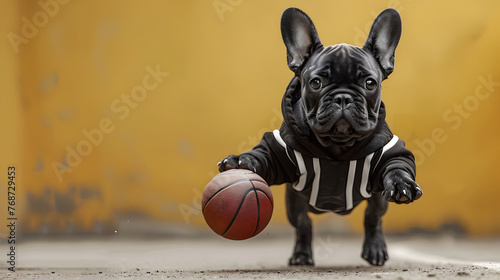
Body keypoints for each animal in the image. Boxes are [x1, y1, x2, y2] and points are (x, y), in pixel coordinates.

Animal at [219, 7, 422, 266]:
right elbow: (262, 157)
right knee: (303, 223)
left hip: (377, 198)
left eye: (370, 83)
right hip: (293, 201)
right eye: (316, 82)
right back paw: (302, 255)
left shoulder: (387, 153)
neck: (336, 145)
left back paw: (375, 249)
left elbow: (396, 167)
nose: (343, 97)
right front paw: (240, 160)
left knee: (372, 216)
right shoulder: (280, 153)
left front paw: (401, 184)